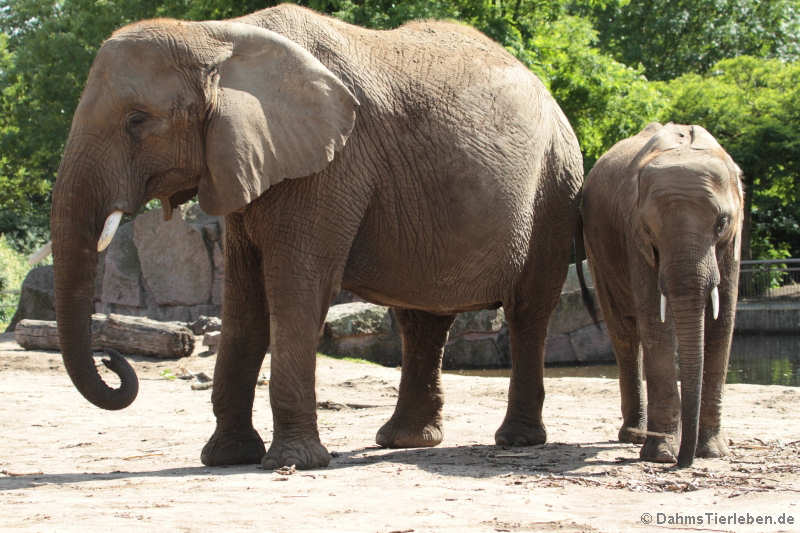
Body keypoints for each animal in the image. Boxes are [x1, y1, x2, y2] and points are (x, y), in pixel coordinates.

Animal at [53, 5, 584, 470]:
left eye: (137, 121)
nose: (113, 358)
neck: (218, 36)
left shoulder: (332, 165)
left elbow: (296, 290)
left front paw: (291, 463)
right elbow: (242, 303)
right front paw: (227, 457)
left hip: (553, 188)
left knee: (527, 311)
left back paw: (515, 440)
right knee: (421, 320)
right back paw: (404, 441)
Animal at [580, 122, 744, 468]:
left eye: (721, 222)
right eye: (650, 230)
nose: (685, 462)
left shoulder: (735, 236)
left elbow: (723, 320)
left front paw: (712, 452)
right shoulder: (634, 235)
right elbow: (656, 322)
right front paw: (661, 456)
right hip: (597, 250)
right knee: (625, 333)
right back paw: (635, 437)